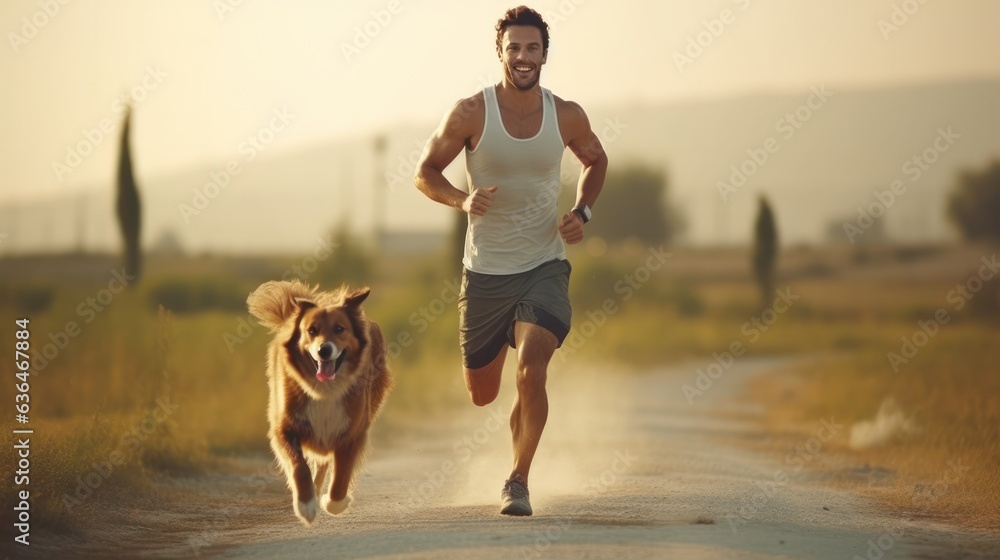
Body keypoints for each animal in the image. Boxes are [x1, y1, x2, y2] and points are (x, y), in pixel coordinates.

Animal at [246, 280, 394, 524]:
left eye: (339, 329)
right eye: (311, 331)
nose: (323, 350)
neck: (324, 390)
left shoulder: (352, 432)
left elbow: (341, 477)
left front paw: (334, 502)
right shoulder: (284, 429)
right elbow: (299, 466)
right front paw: (306, 505)